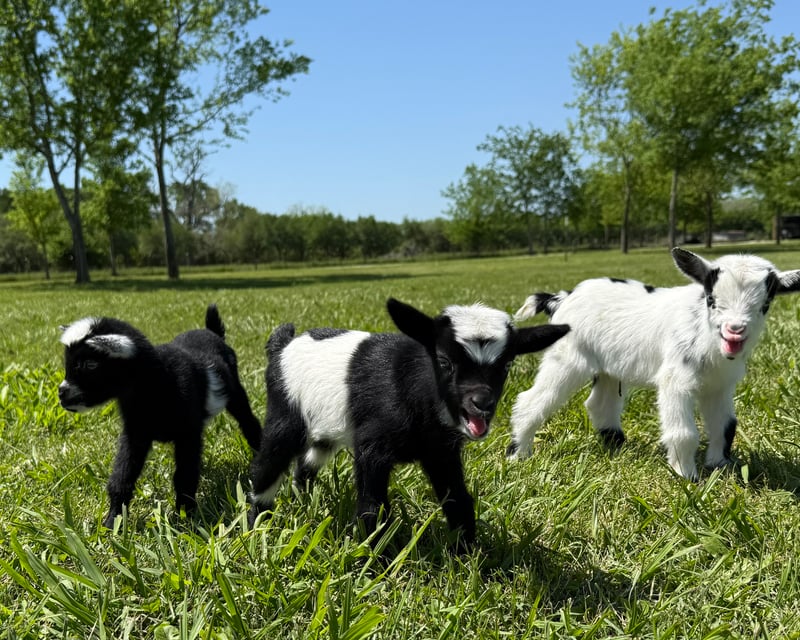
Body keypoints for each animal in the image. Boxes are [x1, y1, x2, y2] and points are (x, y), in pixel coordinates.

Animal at [248, 298, 569, 545]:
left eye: (506, 365)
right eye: (444, 361)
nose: (482, 403)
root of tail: (283, 345)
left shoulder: (441, 452)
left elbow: (459, 501)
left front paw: (470, 558)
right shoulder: (372, 447)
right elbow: (372, 508)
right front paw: (375, 567)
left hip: (324, 429)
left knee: (306, 465)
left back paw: (303, 501)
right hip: (285, 414)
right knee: (266, 470)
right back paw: (255, 527)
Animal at [508, 248, 800, 480]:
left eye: (766, 304)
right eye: (711, 299)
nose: (734, 331)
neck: (704, 333)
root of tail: (561, 298)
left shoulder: (720, 385)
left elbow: (726, 426)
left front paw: (720, 466)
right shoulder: (675, 379)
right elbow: (684, 433)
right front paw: (686, 477)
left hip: (607, 366)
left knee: (600, 403)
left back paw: (617, 447)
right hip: (567, 358)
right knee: (532, 400)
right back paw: (518, 454)